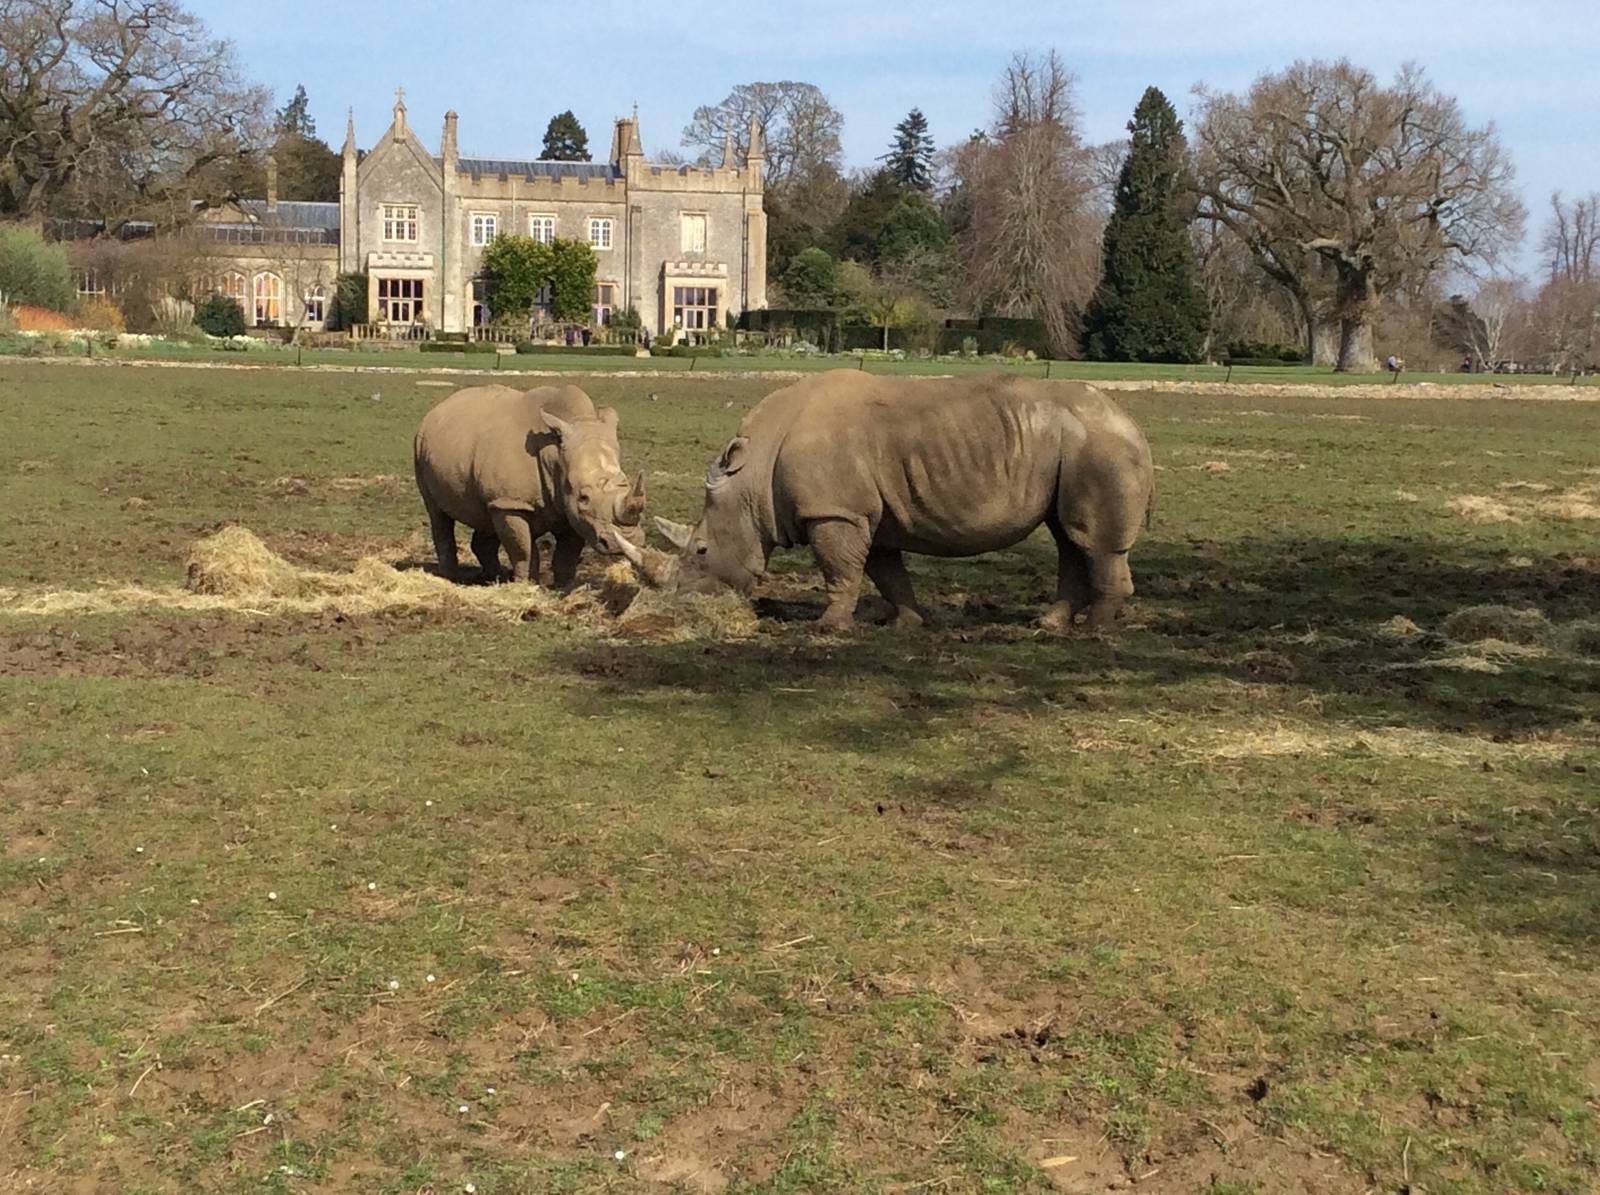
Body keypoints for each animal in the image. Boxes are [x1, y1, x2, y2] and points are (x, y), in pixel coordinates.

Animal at [414, 384, 645, 585]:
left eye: (627, 485)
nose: (622, 542)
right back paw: (451, 578)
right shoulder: (512, 503)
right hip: (419, 445)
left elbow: (567, 553)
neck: (554, 455)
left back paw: (493, 577)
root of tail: (437, 409)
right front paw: (525, 584)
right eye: (584, 498)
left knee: (485, 515)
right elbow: (523, 549)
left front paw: (564, 586)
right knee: (437, 514)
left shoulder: (569, 510)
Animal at [604, 371, 1153, 630]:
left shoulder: (835, 511)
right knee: (1067, 537)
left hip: (1098, 447)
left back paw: (1094, 630)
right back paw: (1050, 624)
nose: (677, 602)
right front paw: (905, 622)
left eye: (700, 551)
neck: (752, 477)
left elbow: (840, 570)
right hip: (1075, 446)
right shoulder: (867, 512)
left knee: (1090, 540)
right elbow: (885, 571)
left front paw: (828, 626)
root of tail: (1132, 423)